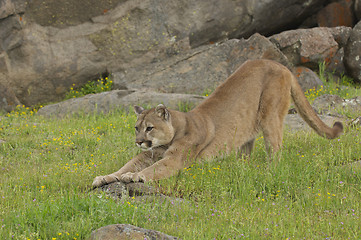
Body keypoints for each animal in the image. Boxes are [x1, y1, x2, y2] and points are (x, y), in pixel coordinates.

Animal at [91, 59, 342, 187]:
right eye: (136, 128)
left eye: (149, 128)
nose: (138, 141)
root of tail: (281, 65)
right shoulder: (147, 155)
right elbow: (125, 165)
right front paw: (105, 177)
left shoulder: (173, 160)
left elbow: (155, 169)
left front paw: (134, 177)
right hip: (247, 128)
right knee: (246, 151)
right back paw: (240, 169)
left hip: (270, 116)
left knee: (275, 148)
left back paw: (269, 172)